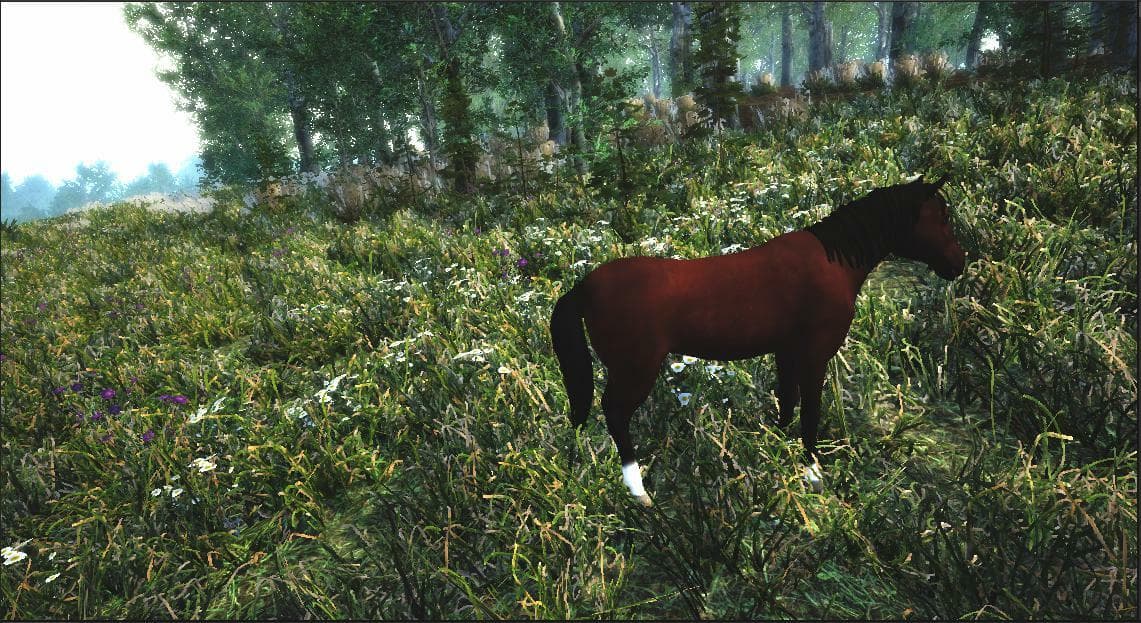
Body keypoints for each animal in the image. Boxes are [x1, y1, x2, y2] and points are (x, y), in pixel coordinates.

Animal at [549, 175, 966, 506]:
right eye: (942, 217)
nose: (959, 264)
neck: (833, 261)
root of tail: (584, 287)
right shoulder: (814, 355)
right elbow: (810, 411)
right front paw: (812, 473)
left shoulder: (786, 351)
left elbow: (787, 402)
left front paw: (778, 449)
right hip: (637, 369)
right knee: (615, 413)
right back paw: (639, 492)